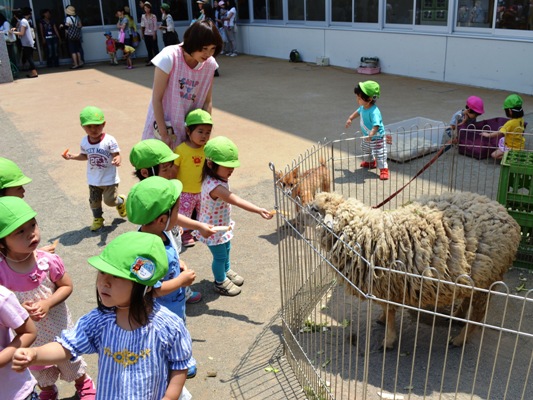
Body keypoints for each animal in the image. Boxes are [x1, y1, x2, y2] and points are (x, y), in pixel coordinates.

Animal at [308, 189, 520, 348]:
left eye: (316, 209)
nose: (307, 205)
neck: (365, 233)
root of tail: (507, 216)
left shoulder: (389, 285)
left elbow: (391, 312)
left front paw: (388, 339)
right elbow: (387, 310)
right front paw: (382, 320)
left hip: (489, 280)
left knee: (478, 314)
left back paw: (460, 339)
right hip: (477, 278)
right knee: (468, 298)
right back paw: (458, 317)